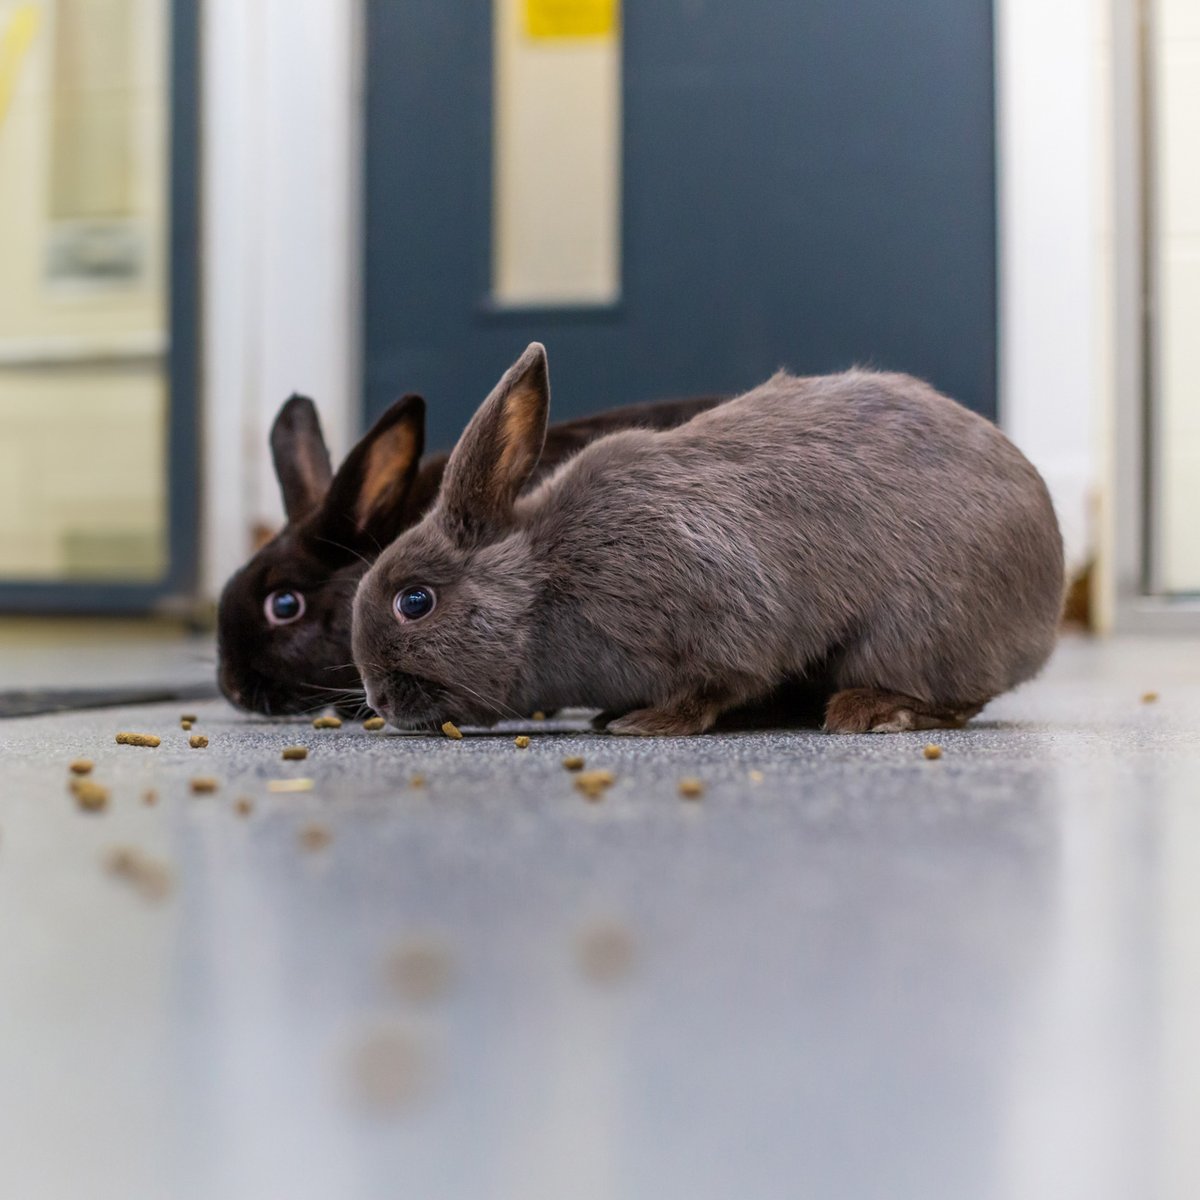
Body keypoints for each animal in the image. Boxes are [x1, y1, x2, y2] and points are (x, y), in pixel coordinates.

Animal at [351, 343, 1064, 735]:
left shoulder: (720, 613)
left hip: (911, 631)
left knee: (960, 699)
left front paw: (643, 724)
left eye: (415, 602)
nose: (378, 700)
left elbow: (718, 681)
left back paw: (871, 711)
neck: (542, 582)